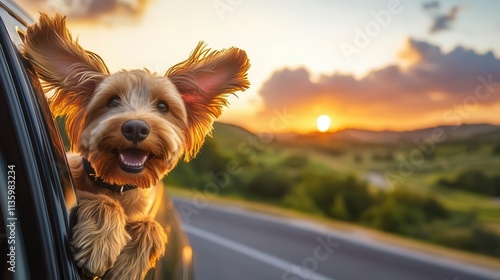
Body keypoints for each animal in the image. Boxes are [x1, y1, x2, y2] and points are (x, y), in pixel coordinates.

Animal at [20, 12, 250, 278]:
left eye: (162, 106)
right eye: (112, 101)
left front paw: (127, 265)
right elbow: (104, 201)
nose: (136, 128)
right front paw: (100, 243)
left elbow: (153, 226)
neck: (118, 186)